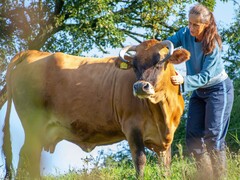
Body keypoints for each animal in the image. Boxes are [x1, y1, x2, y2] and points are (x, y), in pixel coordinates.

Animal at [1, 39, 189, 179]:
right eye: (134, 65)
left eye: (159, 62)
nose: (139, 87)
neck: (161, 112)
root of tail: (33, 53)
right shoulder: (132, 128)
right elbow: (140, 161)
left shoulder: (165, 139)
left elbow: (165, 166)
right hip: (33, 126)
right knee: (27, 157)